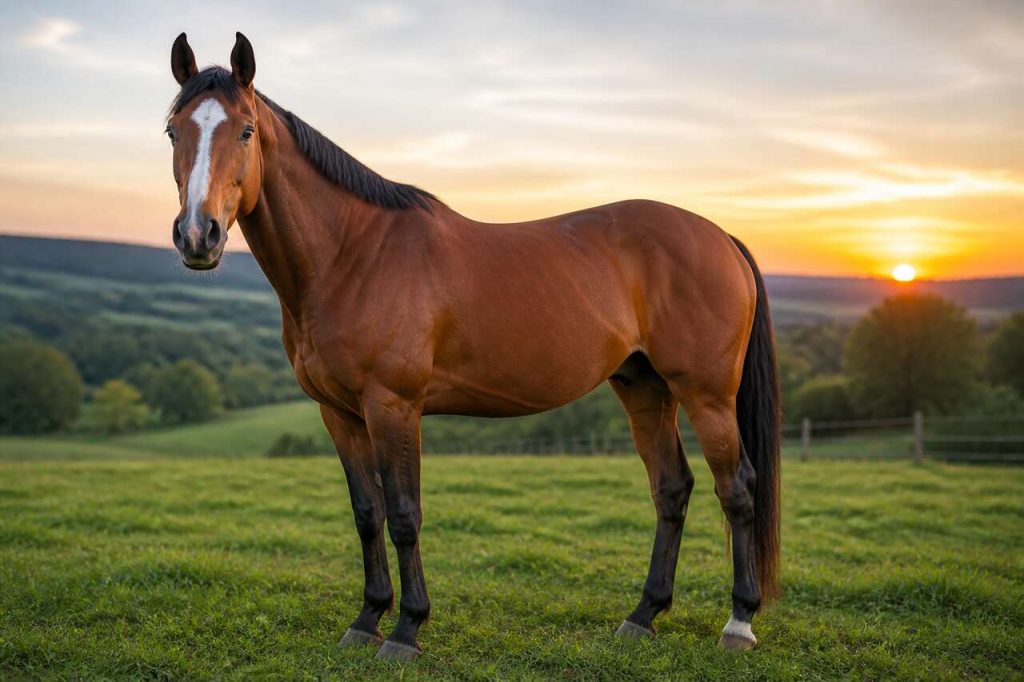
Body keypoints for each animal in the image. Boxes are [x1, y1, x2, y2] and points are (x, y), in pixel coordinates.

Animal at [165, 32, 781, 661]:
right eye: (173, 131)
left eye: (245, 131)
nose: (197, 236)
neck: (352, 255)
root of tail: (721, 237)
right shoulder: (338, 413)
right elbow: (367, 514)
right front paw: (366, 620)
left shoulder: (393, 407)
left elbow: (404, 514)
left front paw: (406, 630)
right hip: (645, 390)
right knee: (671, 489)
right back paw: (643, 614)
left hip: (706, 396)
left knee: (736, 489)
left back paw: (738, 622)